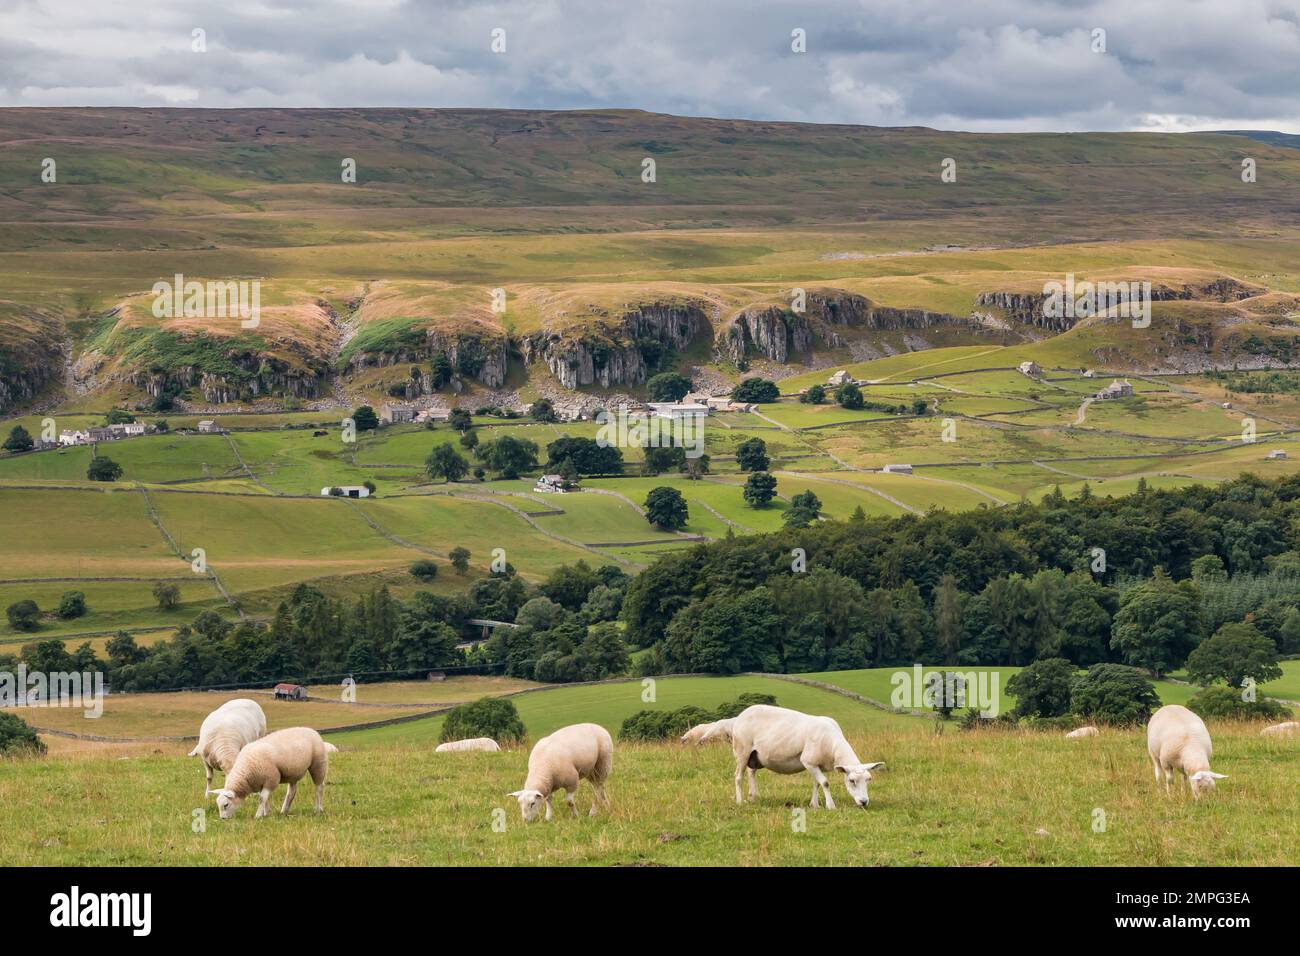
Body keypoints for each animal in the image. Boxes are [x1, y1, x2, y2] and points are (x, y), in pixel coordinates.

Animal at [206, 728, 335, 816]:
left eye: (226, 805)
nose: (223, 819)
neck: (246, 771)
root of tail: (311, 730)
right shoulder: (259, 782)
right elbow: (264, 799)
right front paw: (266, 813)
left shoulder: (271, 778)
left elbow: (262, 798)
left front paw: (258, 815)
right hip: (293, 772)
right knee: (292, 792)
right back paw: (284, 810)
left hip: (318, 764)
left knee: (319, 788)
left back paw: (318, 809)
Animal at [728, 707, 878, 811]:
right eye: (852, 781)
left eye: (868, 779)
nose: (864, 802)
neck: (832, 744)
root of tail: (740, 716)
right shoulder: (808, 761)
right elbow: (825, 783)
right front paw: (831, 805)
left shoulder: (816, 764)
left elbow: (817, 783)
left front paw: (814, 804)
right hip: (742, 751)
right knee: (738, 776)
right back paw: (740, 801)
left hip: (755, 756)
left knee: (751, 772)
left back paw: (753, 797)